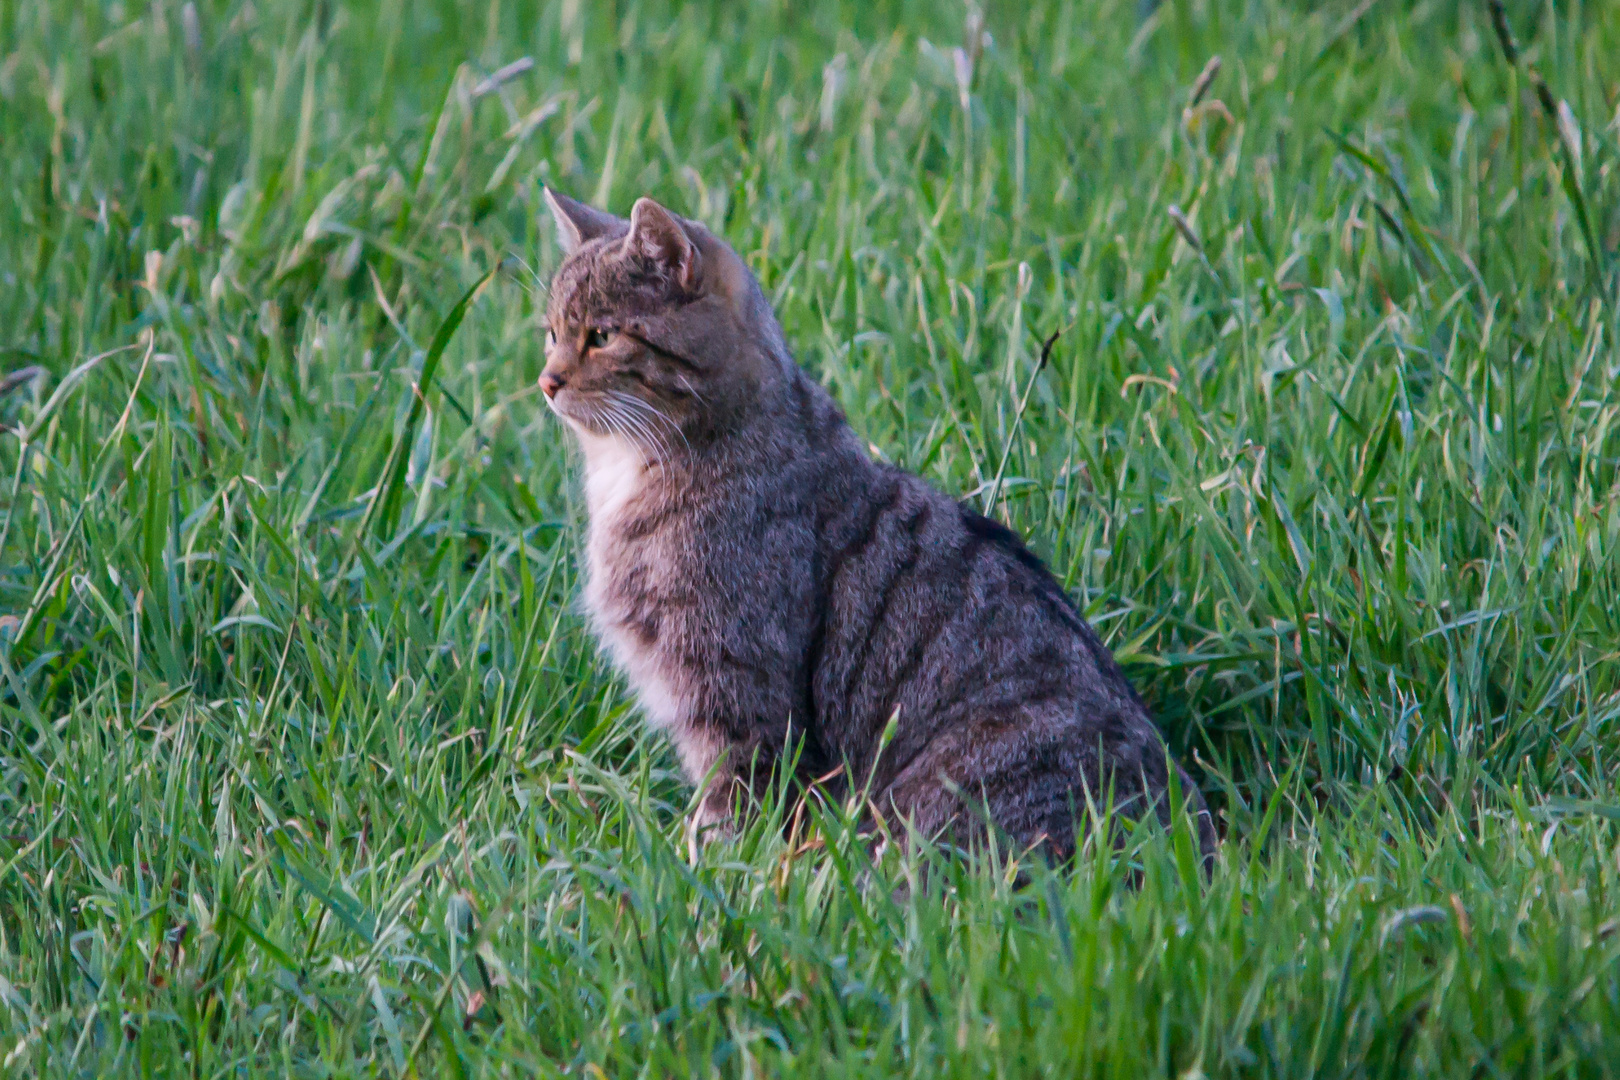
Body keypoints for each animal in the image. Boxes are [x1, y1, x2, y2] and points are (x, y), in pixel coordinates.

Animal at [544, 187, 1218, 867]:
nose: (546, 380)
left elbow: (731, 816)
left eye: (601, 335)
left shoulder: (738, 694)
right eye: (551, 333)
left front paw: (718, 875)